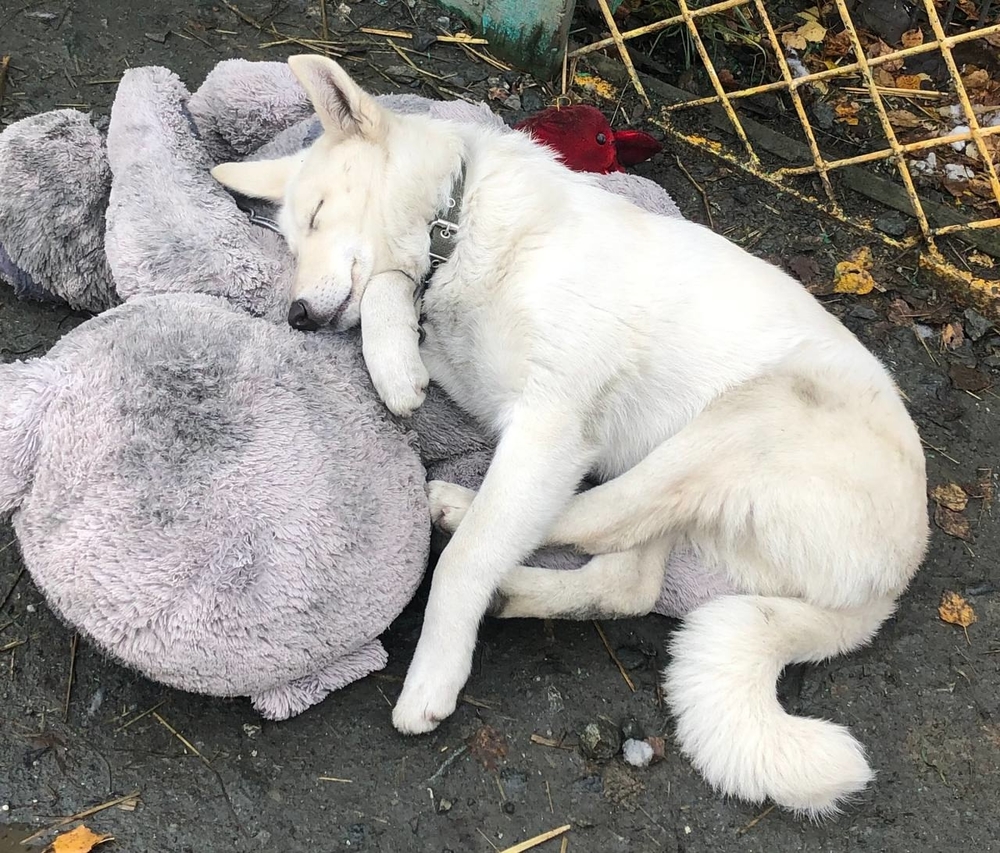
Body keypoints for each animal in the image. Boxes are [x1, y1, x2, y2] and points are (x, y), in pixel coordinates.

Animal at [212, 55, 929, 817]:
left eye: (319, 214)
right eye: (290, 241)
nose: (296, 316)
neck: (461, 229)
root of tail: (894, 579)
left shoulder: (551, 425)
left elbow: (465, 560)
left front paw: (434, 674)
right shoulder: (481, 380)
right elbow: (388, 290)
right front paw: (397, 366)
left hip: (738, 421)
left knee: (589, 522)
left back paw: (458, 510)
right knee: (628, 579)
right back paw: (513, 584)